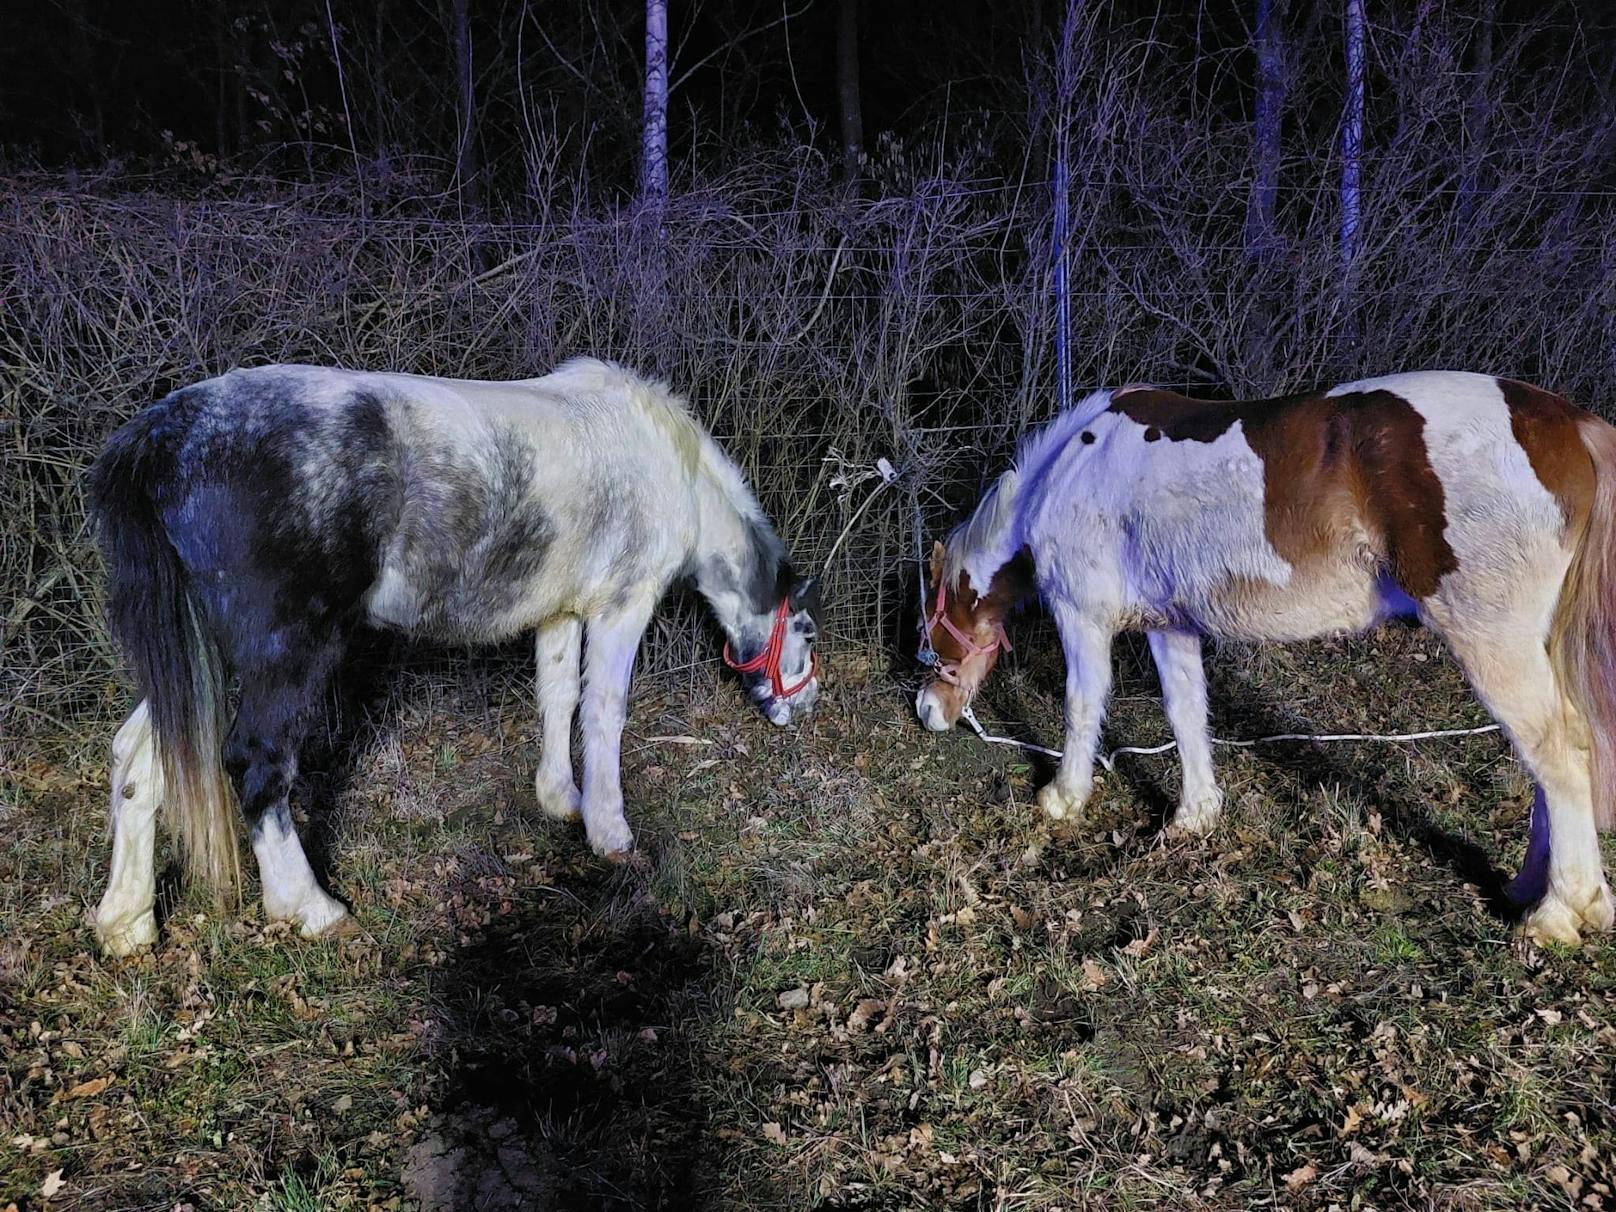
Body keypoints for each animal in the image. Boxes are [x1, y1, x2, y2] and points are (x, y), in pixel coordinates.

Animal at [90, 358, 820, 956]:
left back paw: (127, 924)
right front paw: (610, 834)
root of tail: (162, 434)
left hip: (199, 657)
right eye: (807, 633)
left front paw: (562, 799)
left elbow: (559, 698)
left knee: (139, 757)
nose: (804, 706)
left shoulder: (559, 613)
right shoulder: (623, 605)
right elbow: (604, 710)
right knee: (256, 762)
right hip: (282, 652)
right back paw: (310, 908)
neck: (669, 462)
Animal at [917, 370, 1616, 950]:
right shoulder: (1171, 626)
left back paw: (1558, 911)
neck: (1068, 471)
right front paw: (1195, 816)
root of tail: (1571, 425)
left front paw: (1063, 799)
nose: (927, 709)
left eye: (930, 620)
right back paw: (1531, 887)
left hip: (1492, 640)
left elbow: (1082, 705)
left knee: (1558, 753)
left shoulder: (1081, 616)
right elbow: (1186, 713)